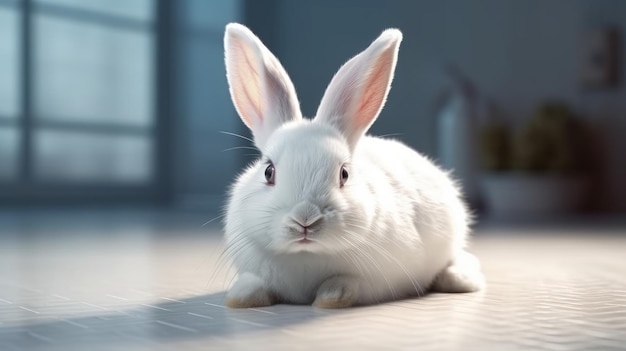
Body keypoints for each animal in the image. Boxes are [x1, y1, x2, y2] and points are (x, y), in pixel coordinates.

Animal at [222, 22, 486, 308]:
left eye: (344, 174)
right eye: (269, 172)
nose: (305, 219)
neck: (306, 255)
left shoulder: (377, 282)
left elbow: (347, 283)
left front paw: (331, 298)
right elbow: (254, 283)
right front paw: (239, 298)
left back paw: (459, 279)